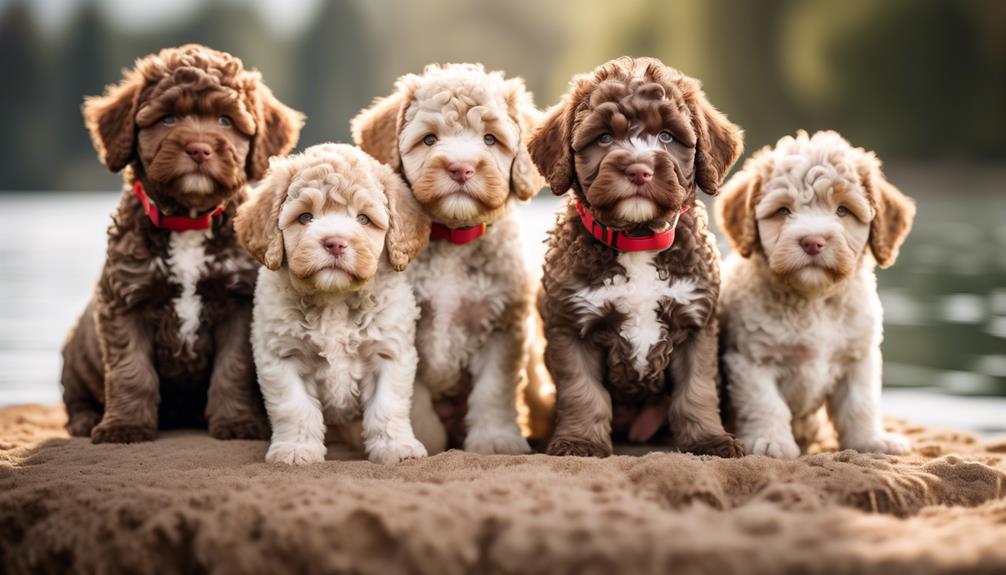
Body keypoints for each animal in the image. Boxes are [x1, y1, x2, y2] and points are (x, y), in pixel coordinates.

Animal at [62, 43, 301, 444]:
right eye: (169, 119)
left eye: (225, 121)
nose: (199, 148)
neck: (187, 219)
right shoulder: (126, 300)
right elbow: (130, 370)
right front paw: (124, 426)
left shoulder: (238, 303)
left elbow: (233, 368)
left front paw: (237, 423)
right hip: (74, 354)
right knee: (75, 395)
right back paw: (85, 420)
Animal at [236, 144, 432, 466]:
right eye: (305, 217)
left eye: (363, 219)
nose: (335, 242)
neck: (335, 299)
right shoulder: (282, 355)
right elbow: (295, 407)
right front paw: (296, 449)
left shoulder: (389, 353)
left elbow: (388, 406)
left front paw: (396, 448)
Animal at [352, 65, 543, 456]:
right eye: (429, 139)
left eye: (490, 139)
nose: (461, 168)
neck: (454, 239)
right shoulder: (406, 326)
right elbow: (414, 397)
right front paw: (423, 438)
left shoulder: (502, 325)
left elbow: (494, 389)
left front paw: (495, 438)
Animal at [531, 57, 744, 458]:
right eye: (603, 138)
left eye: (667, 137)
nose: (639, 170)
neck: (638, 239)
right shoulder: (571, 324)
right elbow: (583, 391)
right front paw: (579, 442)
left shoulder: (697, 323)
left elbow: (696, 391)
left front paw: (709, 440)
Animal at [716, 130, 921, 458]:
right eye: (783, 211)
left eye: (842, 210)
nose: (812, 241)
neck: (814, 301)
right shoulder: (751, 359)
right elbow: (766, 404)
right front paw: (770, 440)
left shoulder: (858, 358)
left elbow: (861, 404)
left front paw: (871, 440)